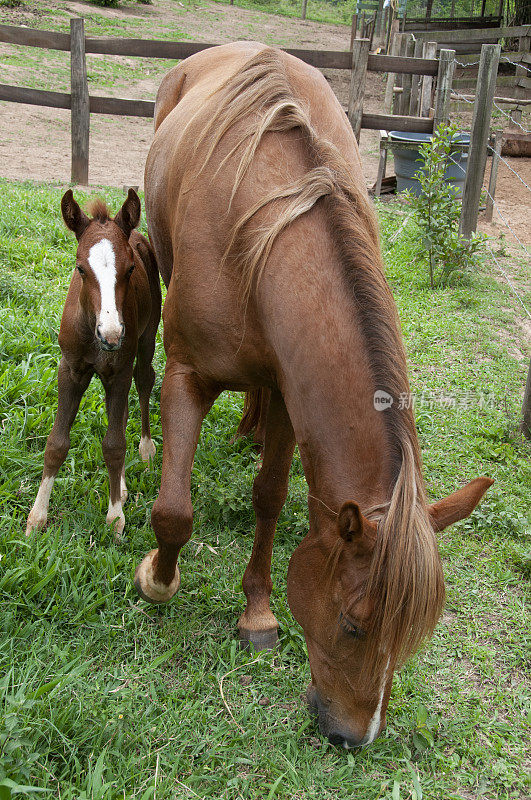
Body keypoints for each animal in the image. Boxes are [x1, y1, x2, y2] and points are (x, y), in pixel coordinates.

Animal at [26, 189, 161, 536]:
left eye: (130, 269)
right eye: (80, 269)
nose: (111, 334)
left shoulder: (119, 370)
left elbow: (113, 445)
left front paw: (115, 518)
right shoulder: (70, 370)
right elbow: (56, 443)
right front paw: (36, 518)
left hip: (145, 338)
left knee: (144, 381)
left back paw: (146, 449)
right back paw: (123, 486)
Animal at [138, 42, 494, 744]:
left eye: (411, 638)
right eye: (355, 625)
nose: (356, 737)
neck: (261, 234)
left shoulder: (285, 390)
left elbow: (271, 497)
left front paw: (257, 612)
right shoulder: (186, 375)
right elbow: (174, 511)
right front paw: (157, 579)